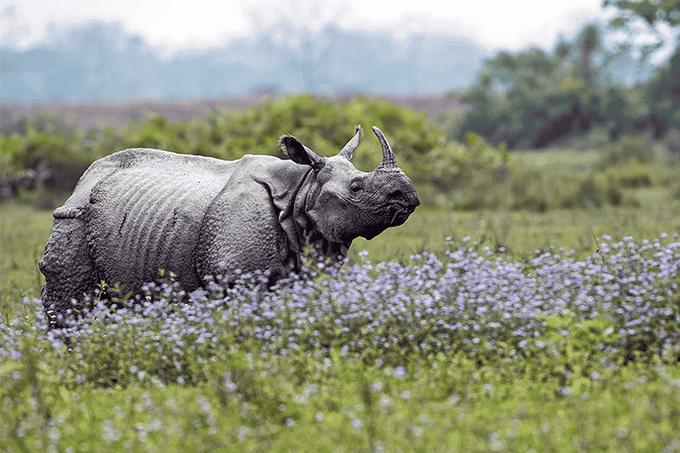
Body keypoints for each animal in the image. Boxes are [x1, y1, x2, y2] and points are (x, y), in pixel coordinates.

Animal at [39, 126, 419, 328]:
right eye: (357, 187)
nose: (410, 196)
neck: (302, 191)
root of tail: (83, 180)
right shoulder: (235, 277)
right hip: (73, 216)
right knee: (72, 302)